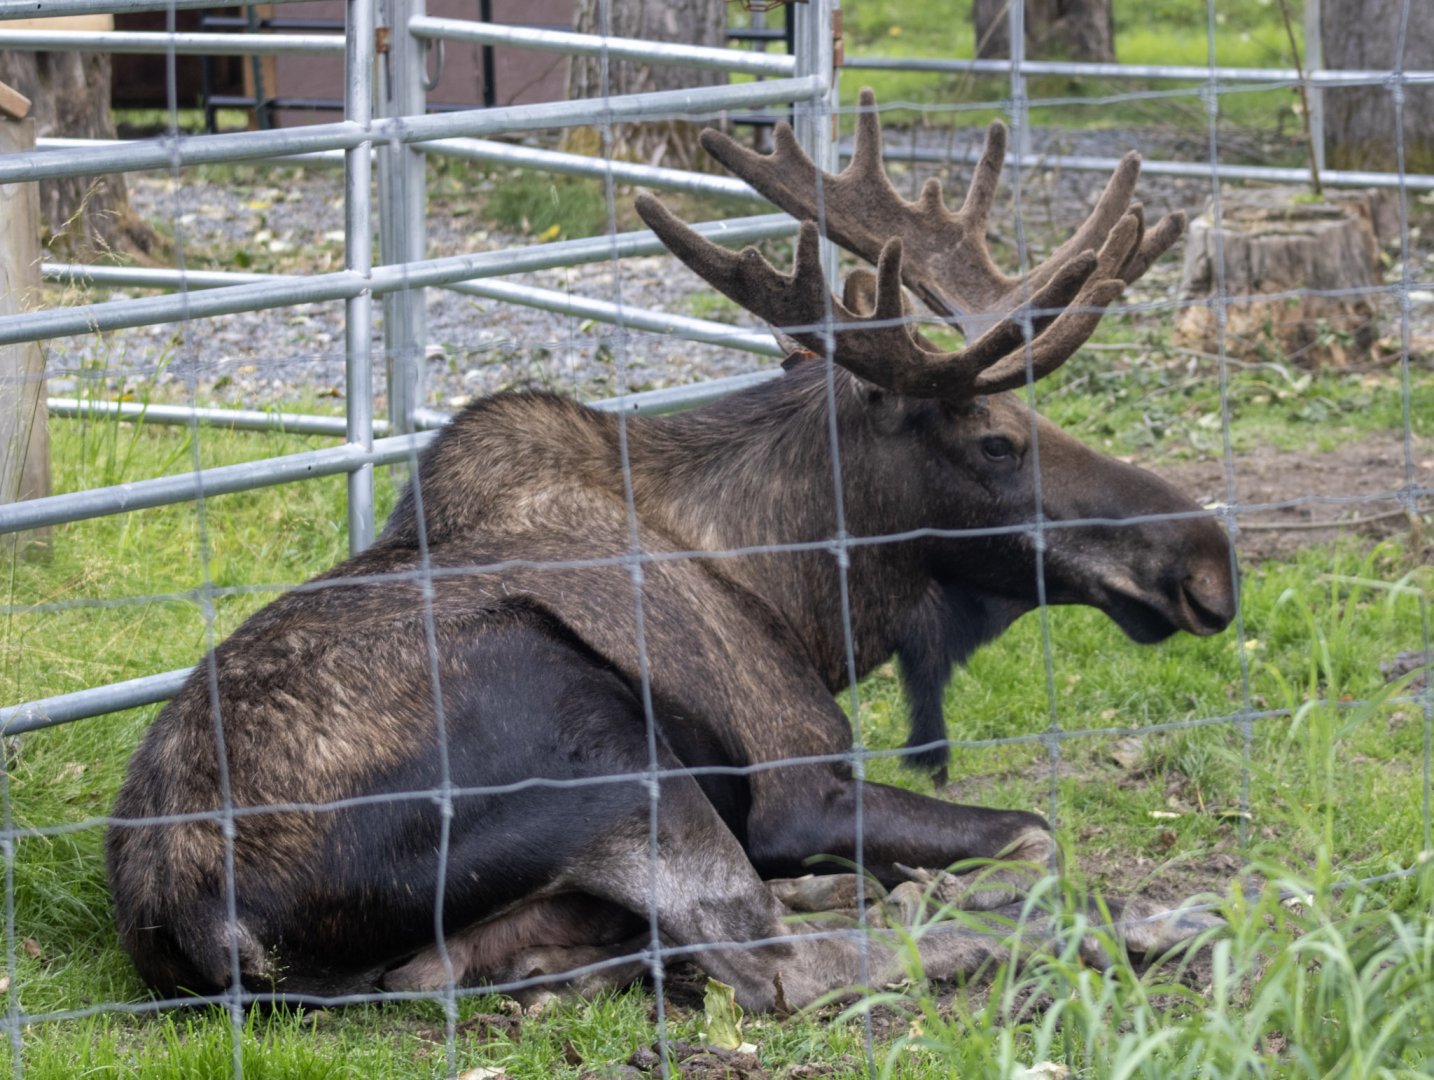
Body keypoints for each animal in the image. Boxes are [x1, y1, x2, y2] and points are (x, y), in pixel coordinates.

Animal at [107, 90, 1236, 1014]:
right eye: (997, 441)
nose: (1209, 558)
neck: (800, 595)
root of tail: (206, 921)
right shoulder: (797, 782)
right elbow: (1040, 829)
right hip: (600, 742)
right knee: (774, 964)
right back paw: (1127, 920)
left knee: (482, 966)